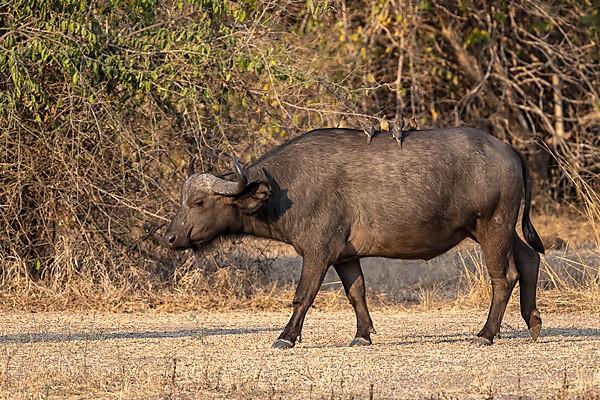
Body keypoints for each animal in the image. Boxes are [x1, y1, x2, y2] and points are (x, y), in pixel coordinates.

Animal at [163, 126, 544, 348]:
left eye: (198, 203)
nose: (170, 237)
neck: (285, 189)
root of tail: (509, 150)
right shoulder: (346, 256)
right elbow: (356, 293)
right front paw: (362, 335)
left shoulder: (317, 252)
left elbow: (303, 296)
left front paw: (286, 337)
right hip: (496, 228)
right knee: (529, 259)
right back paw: (533, 322)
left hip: (492, 226)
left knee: (503, 277)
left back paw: (487, 334)